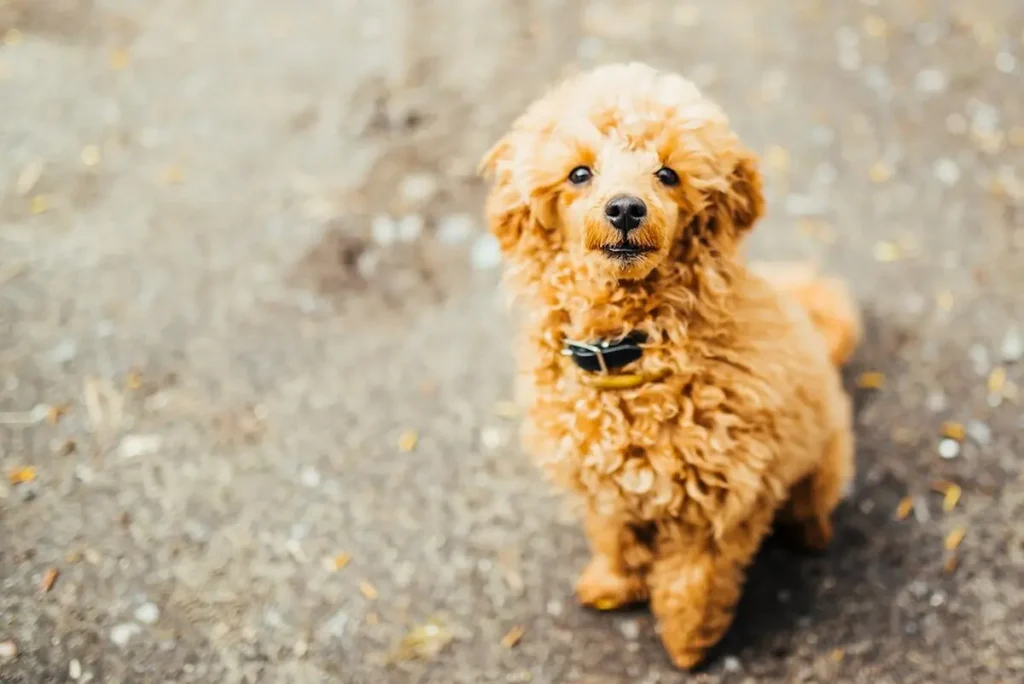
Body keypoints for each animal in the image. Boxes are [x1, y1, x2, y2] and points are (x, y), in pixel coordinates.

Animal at [475, 63, 860, 667]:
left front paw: (686, 650)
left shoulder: (717, 508)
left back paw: (810, 533)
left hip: (824, 458)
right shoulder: (603, 486)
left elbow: (691, 585)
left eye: (668, 174)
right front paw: (612, 587)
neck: (629, 350)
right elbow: (613, 540)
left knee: (812, 503)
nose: (625, 208)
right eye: (579, 173)